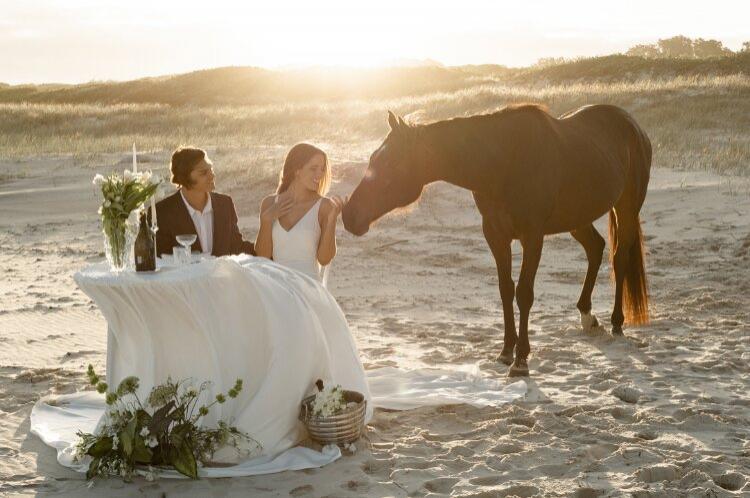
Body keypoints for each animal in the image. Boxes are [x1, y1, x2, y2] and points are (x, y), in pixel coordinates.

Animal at [342, 106, 652, 378]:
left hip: (626, 208)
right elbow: (505, 289)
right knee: (595, 248)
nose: (348, 215)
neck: (503, 162)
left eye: (390, 163)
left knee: (619, 258)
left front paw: (521, 360)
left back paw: (616, 322)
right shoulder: (495, 235)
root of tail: (632, 124)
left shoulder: (532, 236)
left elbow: (524, 293)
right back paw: (587, 316)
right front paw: (505, 350)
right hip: (577, 217)